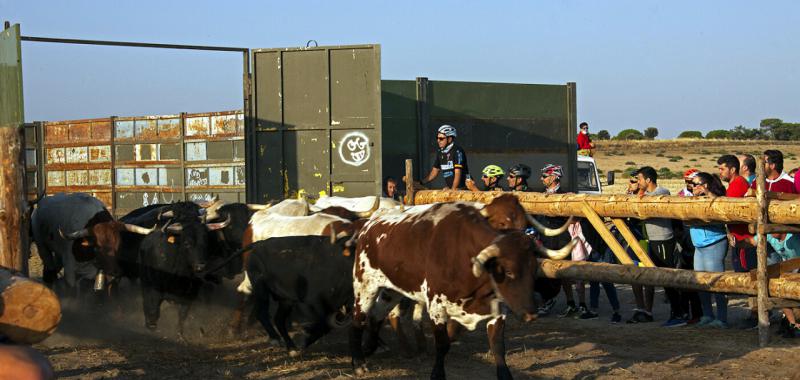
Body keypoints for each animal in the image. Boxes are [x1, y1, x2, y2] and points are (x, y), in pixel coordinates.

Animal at [350, 200, 576, 378]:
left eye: (533, 269)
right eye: (508, 271)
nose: (531, 314)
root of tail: (370, 224)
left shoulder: (497, 311)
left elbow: (497, 347)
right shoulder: (437, 308)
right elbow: (442, 345)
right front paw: (437, 374)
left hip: (392, 291)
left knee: (377, 315)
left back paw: (370, 348)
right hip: (365, 286)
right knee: (359, 318)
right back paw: (358, 363)